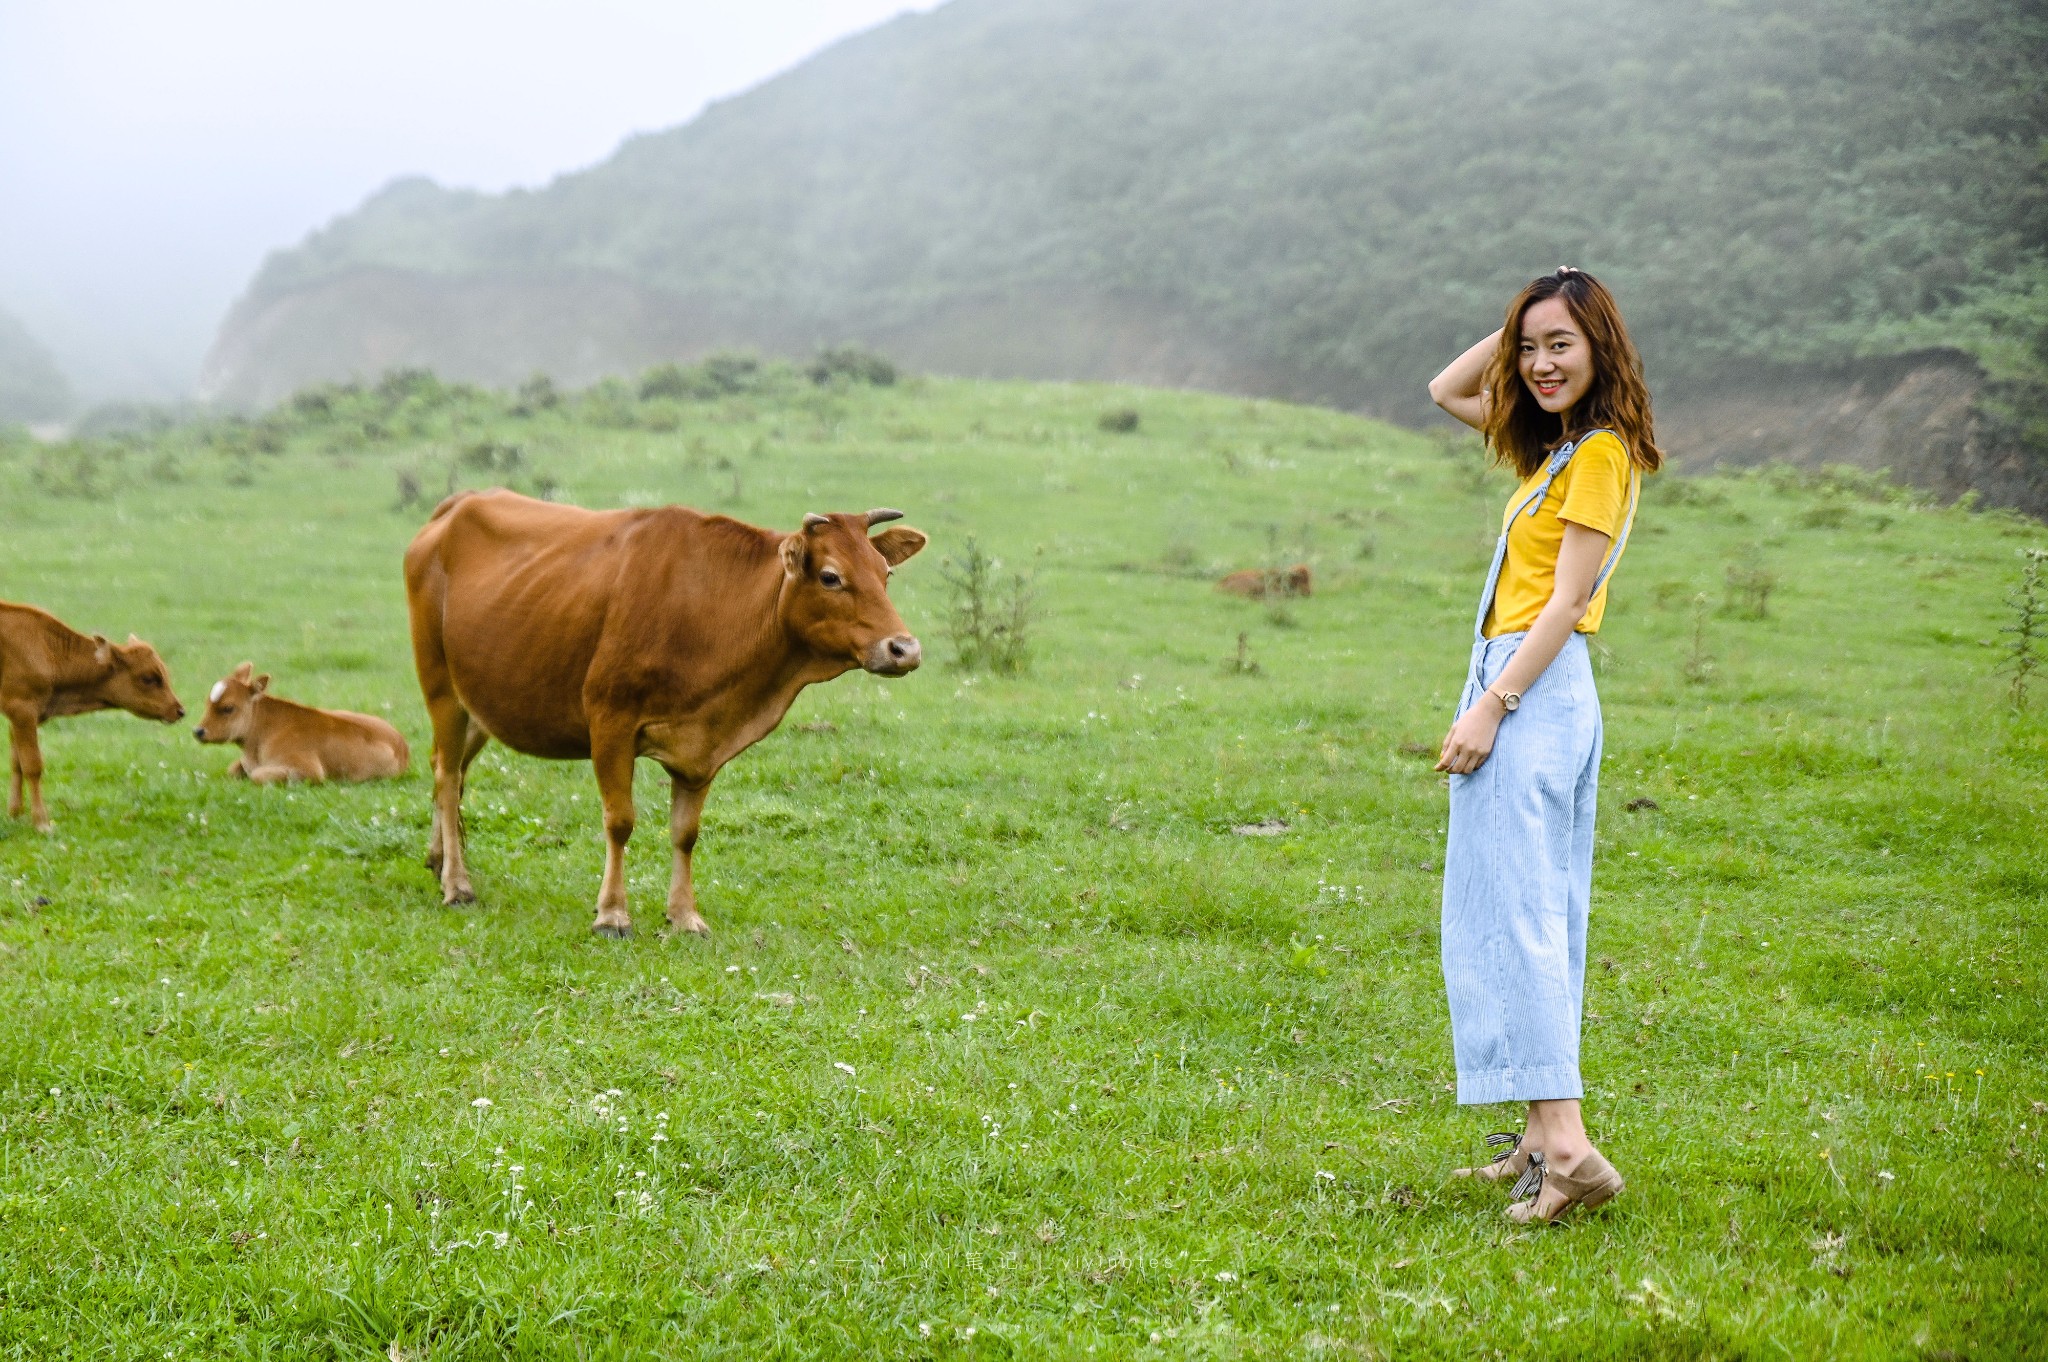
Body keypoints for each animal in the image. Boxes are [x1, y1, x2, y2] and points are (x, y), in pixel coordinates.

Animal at [0, 602, 186, 835]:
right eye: (149, 678)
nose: (179, 710)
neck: (46, 648)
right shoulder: (22, 711)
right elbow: (33, 766)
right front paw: (42, 823)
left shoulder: (23, 719)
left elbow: (17, 764)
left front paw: (14, 814)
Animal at [192, 659, 411, 782]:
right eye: (207, 703)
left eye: (228, 708)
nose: (198, 731)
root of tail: (401, 742)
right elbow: (233, 769)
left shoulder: (308, 770)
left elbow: (258, 776)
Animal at [401, 489, 929, 933]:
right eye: (830, 576)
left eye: (885, 574)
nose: (904, 649)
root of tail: (458, 504)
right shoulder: (609, 722)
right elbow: (620, 821)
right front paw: (612, 913)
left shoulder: (702, 747)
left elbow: (685, 833)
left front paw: (683, 916)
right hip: (442, 687)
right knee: (447, 777)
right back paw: (457, 884)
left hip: (481, 701)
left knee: (451, 770)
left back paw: (439, 860)